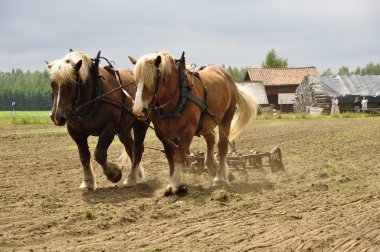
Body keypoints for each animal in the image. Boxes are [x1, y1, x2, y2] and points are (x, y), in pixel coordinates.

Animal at [46, 50, 148, 189]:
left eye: (71, 84)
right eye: (53, 84)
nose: (57, 117)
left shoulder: (109, 128)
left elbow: (99, 154)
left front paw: (114, 174)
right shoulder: (75, 132)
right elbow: (84, 156)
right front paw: (88, 181)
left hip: (141, 123)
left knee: (137, 149)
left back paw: (132, 178)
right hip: (124, 130)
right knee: (130, 148)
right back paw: (137, 175)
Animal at [129, 51, 256, 196]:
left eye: (153, 79)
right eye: (136, 80)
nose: (138, 110)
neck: (176, 98)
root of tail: (226, 74)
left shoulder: (188, 131)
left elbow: (179, 157)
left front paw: (174, 184)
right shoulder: (162, 134)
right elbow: (170, 158)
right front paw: (173, 182)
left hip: (226, 118)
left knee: (222, 146)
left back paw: (220, 177)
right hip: (205, 123)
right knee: (211, 139)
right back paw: (212, 167)